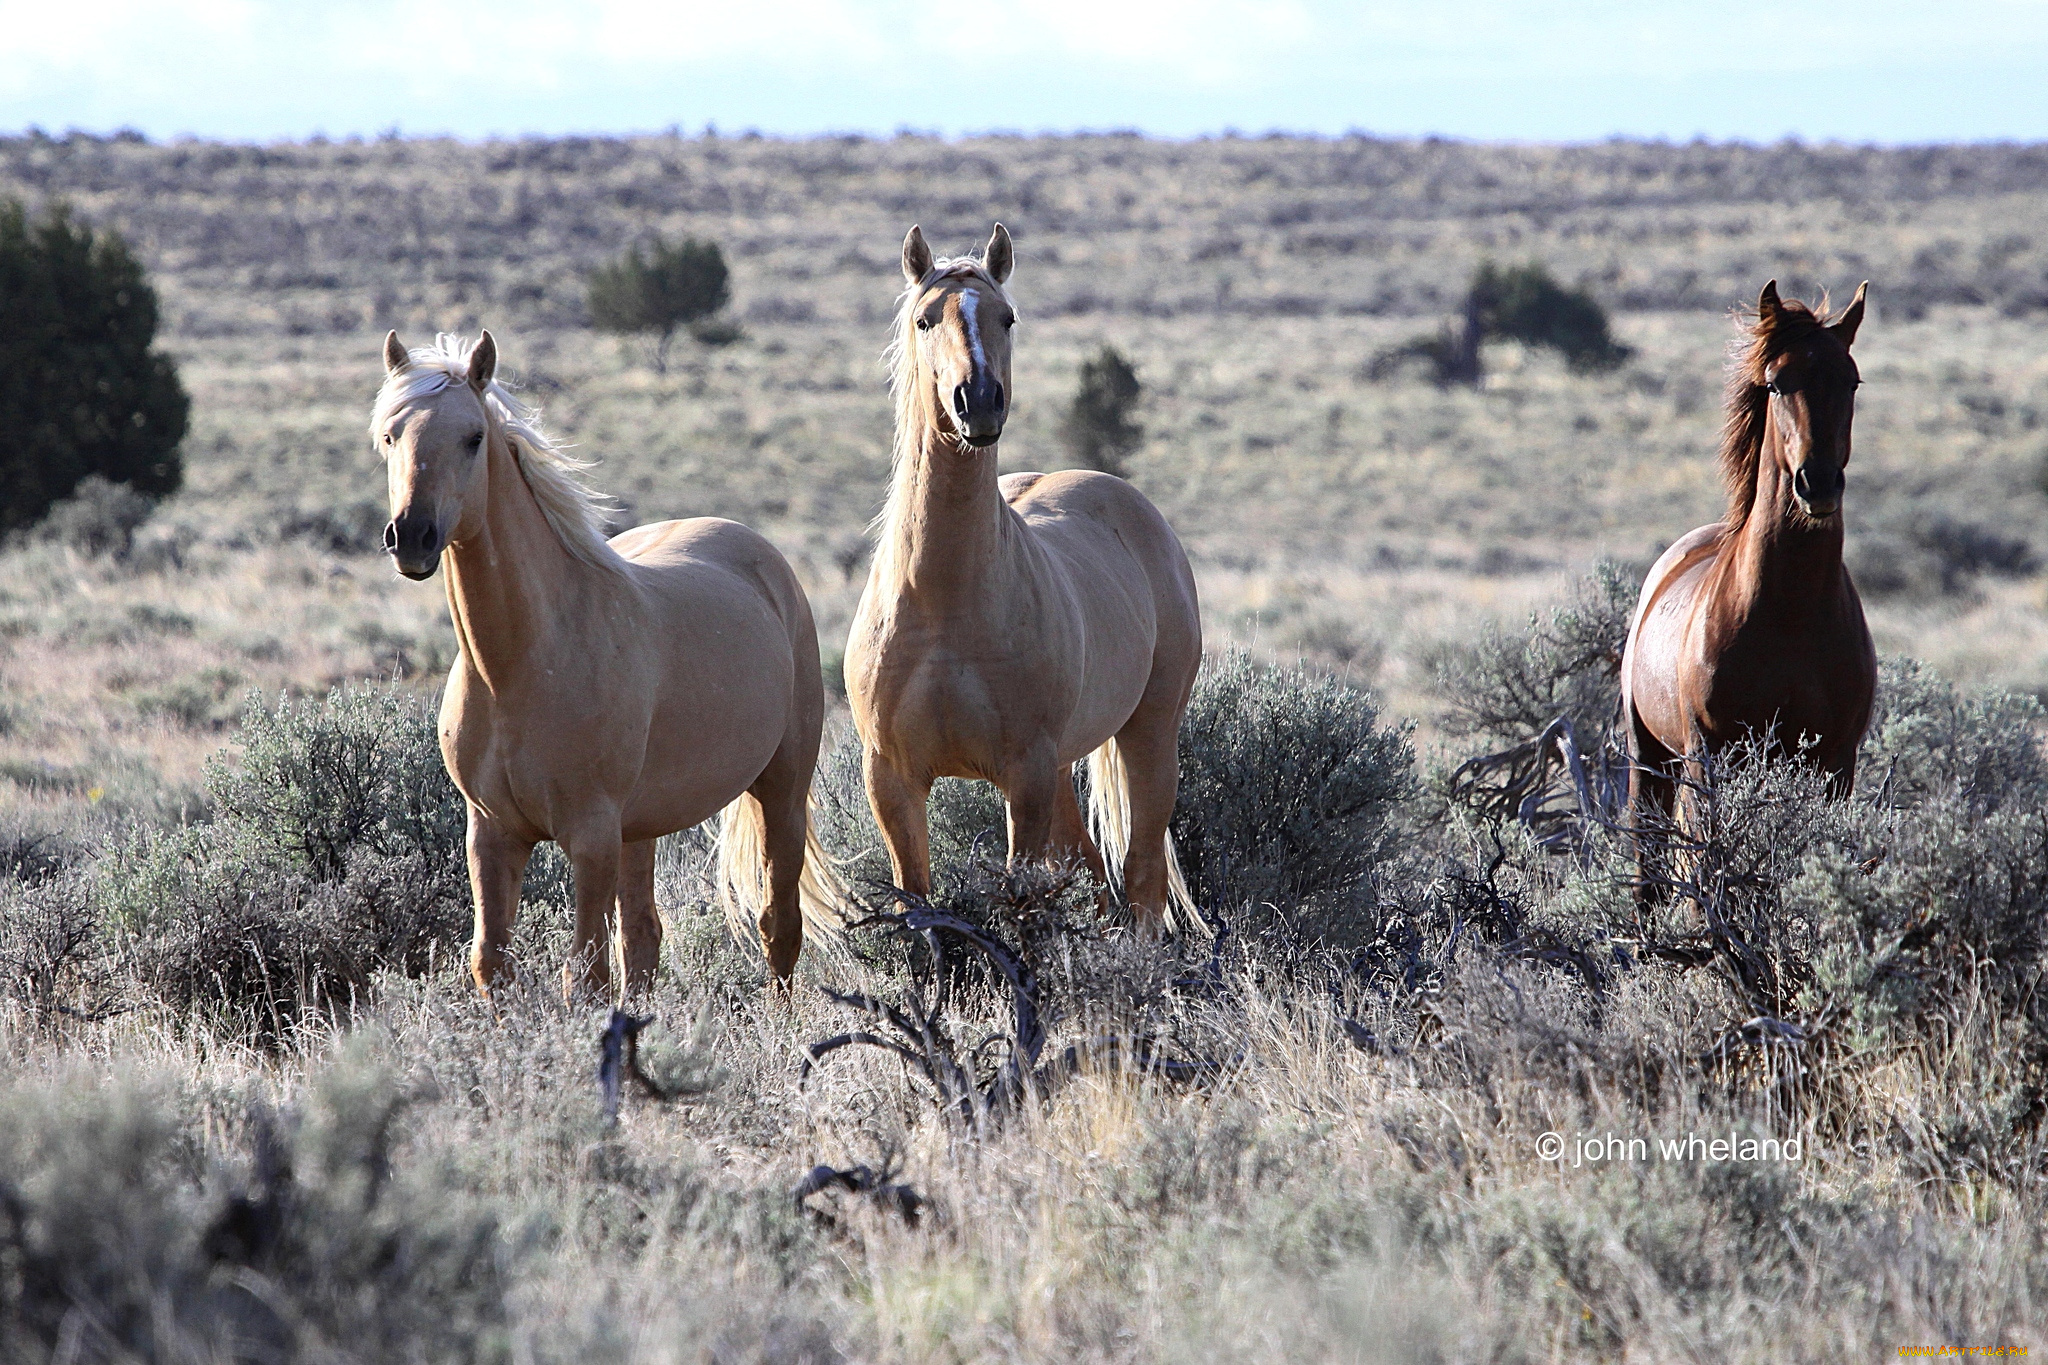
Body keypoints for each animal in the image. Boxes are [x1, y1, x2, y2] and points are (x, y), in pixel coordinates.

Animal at [372, 325, 835, 998]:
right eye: (390, 435)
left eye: (473, 437)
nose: (412, 537)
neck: (517, 667)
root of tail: (763, 557)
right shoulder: (491, 834)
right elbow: (491, 963)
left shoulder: (590, 838)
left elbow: (584, 974)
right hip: (639, 828)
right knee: (643, 936)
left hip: (781, 790)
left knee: (779, 924)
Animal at [843, 224, 1196, 929]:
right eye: (925, 320)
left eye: (1007, 317)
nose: (979, 402)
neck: (943, 603)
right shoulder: (892, 779)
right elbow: (918, 909)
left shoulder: (1023, 773)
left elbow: (1021, 904)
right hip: (1064, 766)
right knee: (1093, 870)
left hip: (1148, 735)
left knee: (1142, 879)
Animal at [1622, 282, 1875, 839]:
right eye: (1776, 384)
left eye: (1851, 381)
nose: (1817, 484)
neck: (1790, 611)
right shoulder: (1710, 755)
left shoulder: (1837, 763)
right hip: (1650, 760)